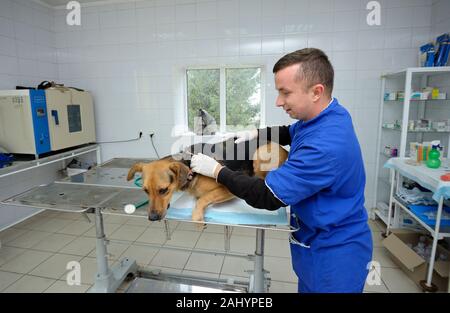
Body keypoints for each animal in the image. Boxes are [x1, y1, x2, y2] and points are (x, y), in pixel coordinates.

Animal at [126, 139, 288, 222]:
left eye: (163, 190)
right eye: (146, 191)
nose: (152, 218)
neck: (190, 167)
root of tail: (285, 150)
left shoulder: (227, 189)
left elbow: (202, 200)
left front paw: (197, 216)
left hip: (260, 154)